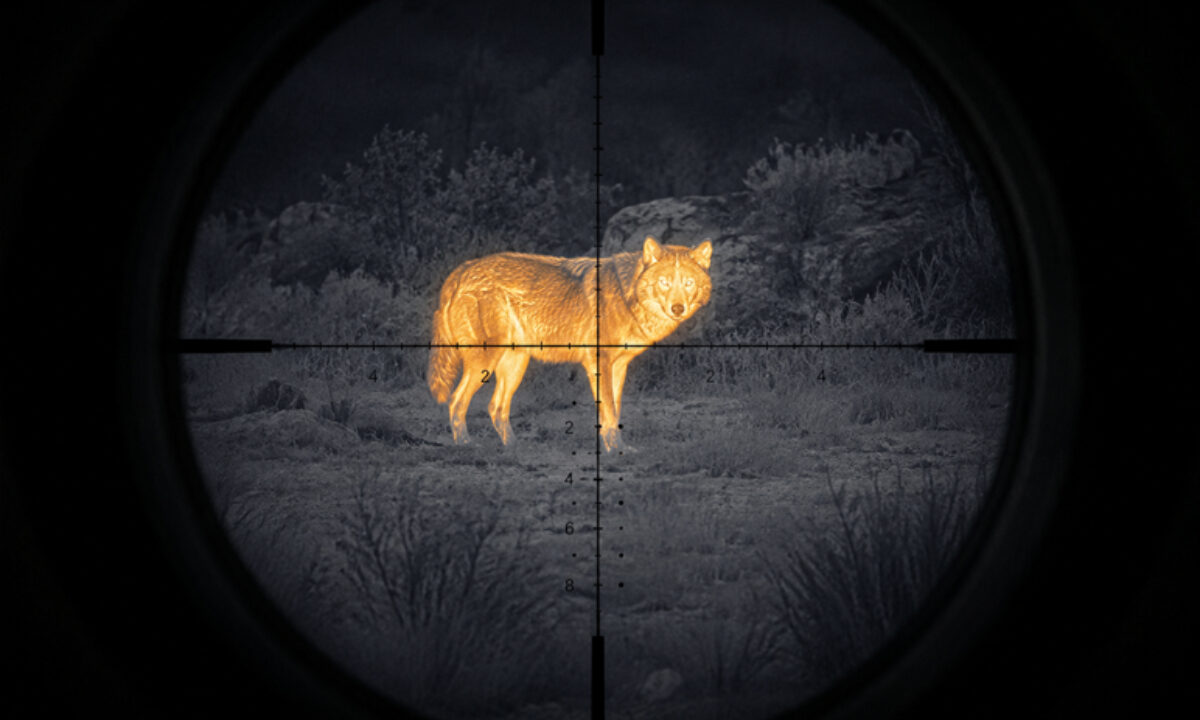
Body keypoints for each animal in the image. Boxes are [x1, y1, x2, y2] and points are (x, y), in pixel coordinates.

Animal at [427, 236, 713, 451]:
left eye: (688, 283)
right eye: (664, 282)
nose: (678, 308)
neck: (627, 295)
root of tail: (463, 268)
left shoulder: (619, 367)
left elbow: (614, 412)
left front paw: (616, 449)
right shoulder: (599, 363)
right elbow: (609, 412)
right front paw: (615, 452)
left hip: (515, 366)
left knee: (495, 407)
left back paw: (515, 448)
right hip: (485, 363)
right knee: (456, 401)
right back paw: (466, 445)